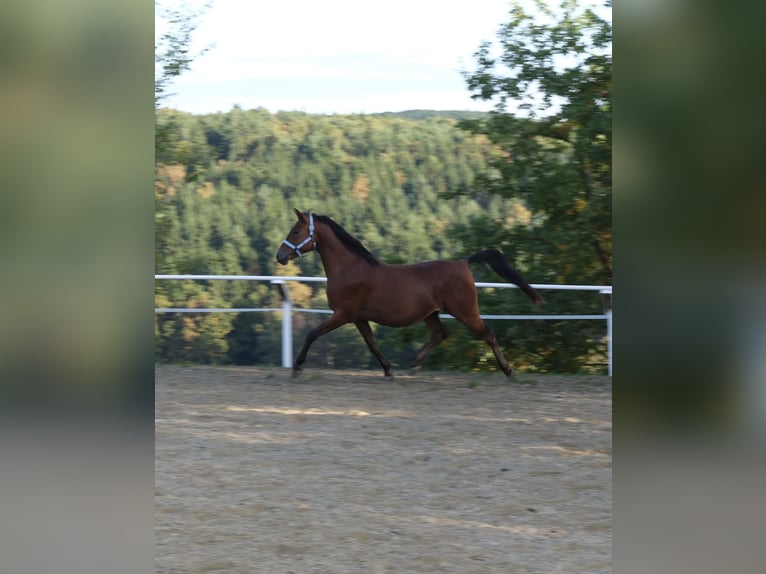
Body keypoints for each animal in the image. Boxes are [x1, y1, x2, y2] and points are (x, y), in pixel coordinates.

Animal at [276, 209, 542, 377]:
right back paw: (415, 363)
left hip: (465, 311)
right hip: (431, 313)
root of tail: (463, 263)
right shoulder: (358, 317)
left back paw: (508, 370)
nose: (280, 256)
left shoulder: (343, 314)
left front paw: (297, 367)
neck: (350, 267)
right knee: (441, 334)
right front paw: (388, 369)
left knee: (488, 334)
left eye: (296, 231)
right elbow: (372, 344)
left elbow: (312, 334)